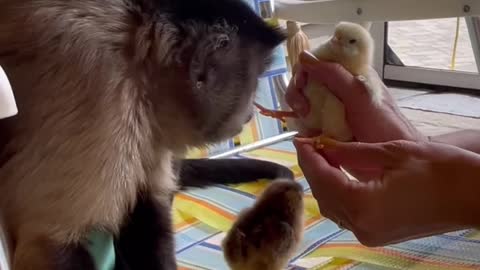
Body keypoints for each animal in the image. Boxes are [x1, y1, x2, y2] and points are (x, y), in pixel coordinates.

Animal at [0, 0, 286, 268]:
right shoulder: (103, 94)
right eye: (255, 80)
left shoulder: (147, 124)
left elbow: (145, 202)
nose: (249, 112)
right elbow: (49, 239)